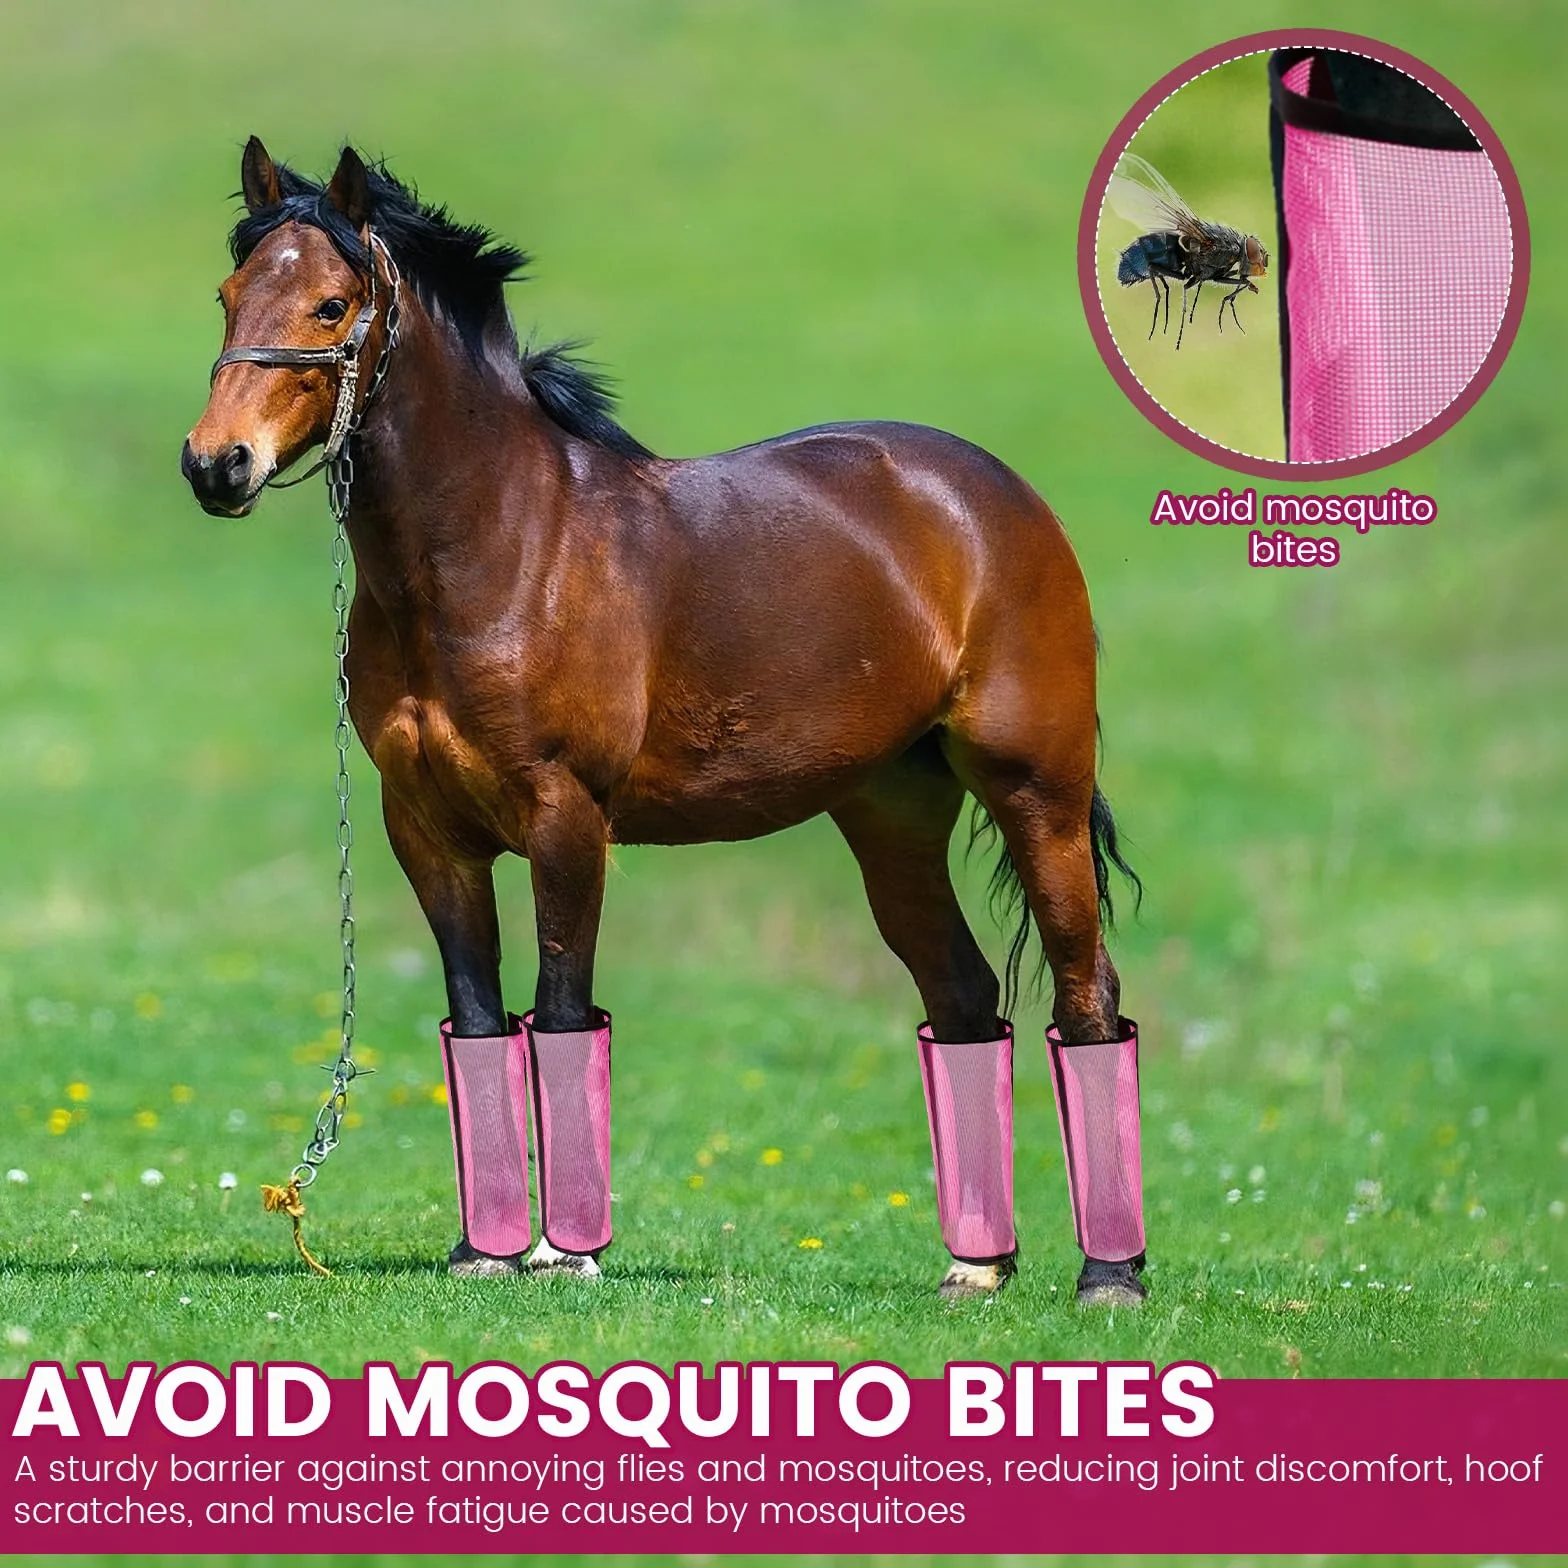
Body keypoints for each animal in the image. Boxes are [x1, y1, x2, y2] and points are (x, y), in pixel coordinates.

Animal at [182, 139, 1148, 1307]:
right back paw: (976, 1264)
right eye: (228, 294)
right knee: (962, 997)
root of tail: (992, 494)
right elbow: (476, 1017)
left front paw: (563, 1250)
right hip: (889, 814)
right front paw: (483, 1250)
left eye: (331, 304)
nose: (215, 464)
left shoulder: (565, 816)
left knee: (1086, 994)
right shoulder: (426, 830)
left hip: (1034, 791)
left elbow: (560, 1009)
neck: (502, 548)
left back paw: (1110, 1271)